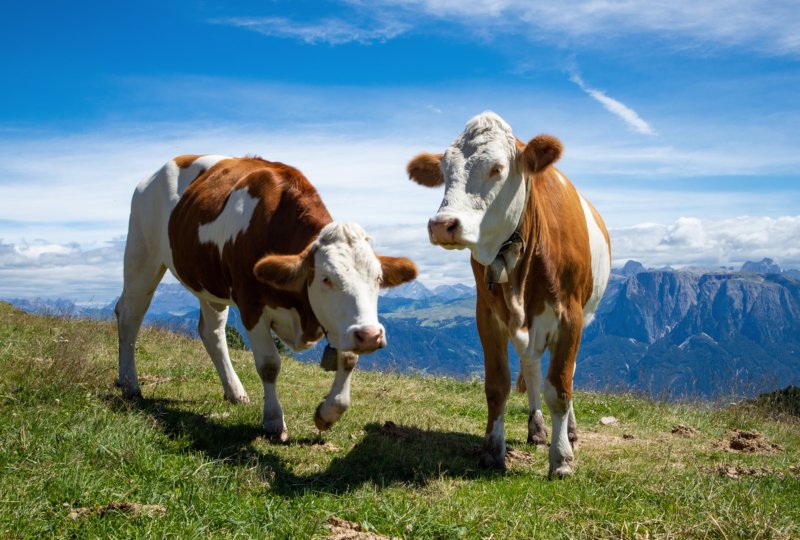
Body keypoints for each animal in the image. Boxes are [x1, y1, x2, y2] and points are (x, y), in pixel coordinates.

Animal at [118, 154, 418, 440]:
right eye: (326, 279)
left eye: (377, 279)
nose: (370, 336)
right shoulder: (251, 306)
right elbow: (269, 365)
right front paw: (274, 421)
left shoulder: (342, 322)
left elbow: (347, 360)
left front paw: (327, 414)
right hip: (142, 255)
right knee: (129, 315)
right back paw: (129, 384)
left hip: (208, 283)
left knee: (211, 332)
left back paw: (235, 391)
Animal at [410, 113, 608, 476]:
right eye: (444, 170)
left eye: (498, 168)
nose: (442, 225)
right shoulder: (486, 315)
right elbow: (497, 385)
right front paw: (492, 450)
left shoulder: (570, 315)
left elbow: (560, 386)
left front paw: (561, 459)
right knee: (531, 367)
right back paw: (537, 427)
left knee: (566, 373)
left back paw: (570, 432)